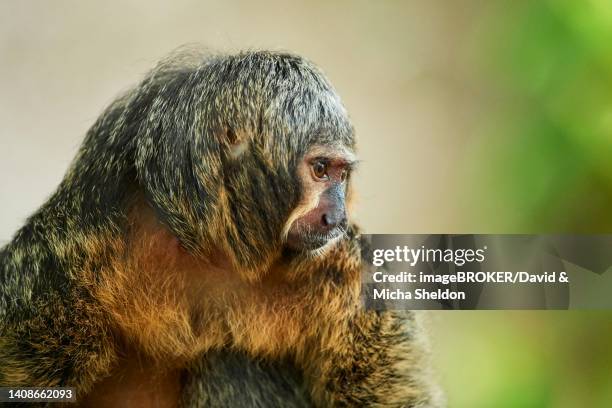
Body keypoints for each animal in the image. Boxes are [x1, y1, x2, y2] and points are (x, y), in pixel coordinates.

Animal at [0, 49, 442, 406]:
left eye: (341, 175)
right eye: (320, 170)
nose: (337, 217)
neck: (216, 248)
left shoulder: (349, 269)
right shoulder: (66, 255)